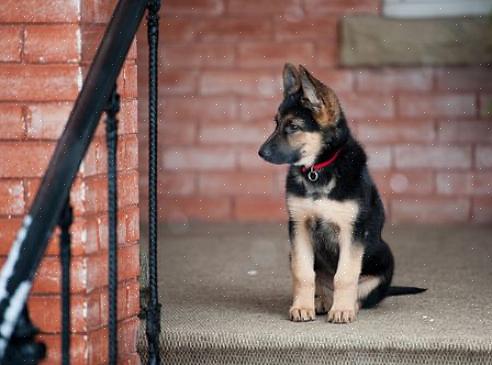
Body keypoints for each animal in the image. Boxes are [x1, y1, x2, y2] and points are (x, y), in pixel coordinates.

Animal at [260, 64, 424, 322]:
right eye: (276, 123)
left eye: (293, 127)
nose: (260, 152)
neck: (318, 169)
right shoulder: (298, 226)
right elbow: (303, 273)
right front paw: (302, 307)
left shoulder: (352, 230)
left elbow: (346, 275)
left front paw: (343, 310)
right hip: (293, 253)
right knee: (321, 283)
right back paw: (320, 301)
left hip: (384, 256)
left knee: (361, 292)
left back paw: (347, 305)